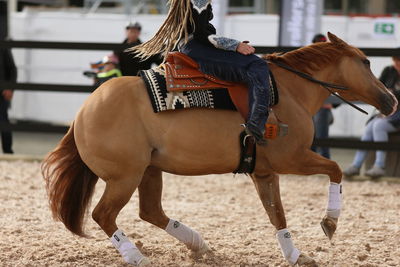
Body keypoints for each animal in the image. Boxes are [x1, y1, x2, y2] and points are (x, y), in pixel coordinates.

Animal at [43, 32, 394, 266]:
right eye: (366, 61)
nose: (391, 100)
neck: (289, 91)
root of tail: (83, 112)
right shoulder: (292, 159)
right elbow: (334, 170)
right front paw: (330, 223)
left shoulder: (264, 171)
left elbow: (276, 213)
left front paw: (294, 254)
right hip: (124, 177)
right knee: (104, 214)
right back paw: (136, 256)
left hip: (149, 170)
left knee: (150, 211)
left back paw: (199, 245)